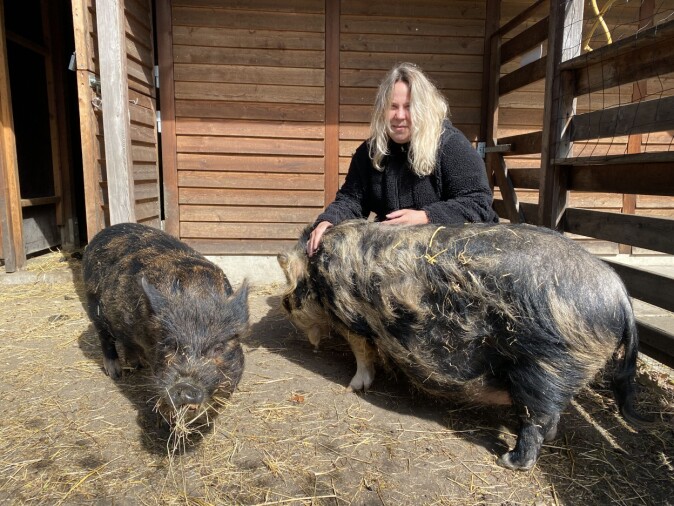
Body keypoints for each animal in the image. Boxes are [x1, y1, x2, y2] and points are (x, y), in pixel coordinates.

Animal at [81, 223, 248, 424]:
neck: (198, 296)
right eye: (170, 345)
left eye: (219, 347)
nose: (185, 386)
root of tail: (102, 234)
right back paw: (116, 372)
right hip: (93, 305)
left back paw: (138, 364)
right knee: (105, 338)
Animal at [278, 219, 644, 472]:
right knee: (548, 418)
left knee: (537, 419)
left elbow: (362, 353)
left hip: (550, 365)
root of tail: (618, 294)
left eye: (289, 292)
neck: (318, 272)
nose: (283, 304)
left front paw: (354, 387)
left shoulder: (351, 318)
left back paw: (510, 461)